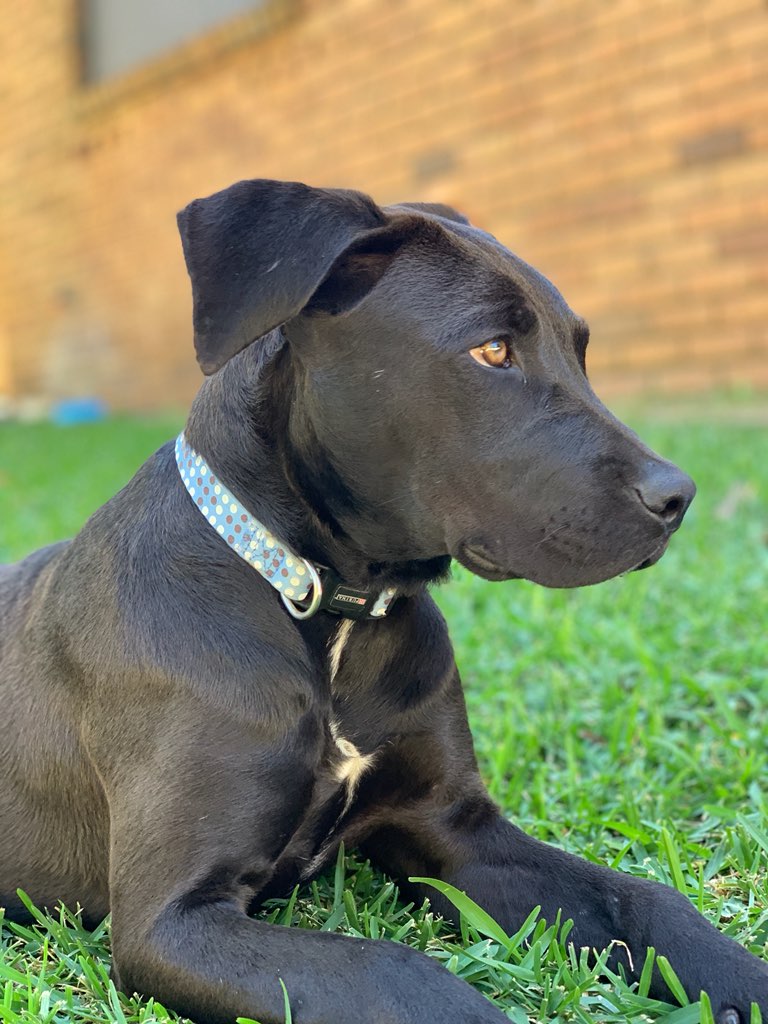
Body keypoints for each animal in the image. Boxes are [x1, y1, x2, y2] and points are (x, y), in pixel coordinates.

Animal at [1, 178, 765, 1024]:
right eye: (492, 349)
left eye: (582, 351)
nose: (678, 498)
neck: (324, 606)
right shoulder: (171, 920)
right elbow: (402, 975)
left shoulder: (455, 831)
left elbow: (648, 901)